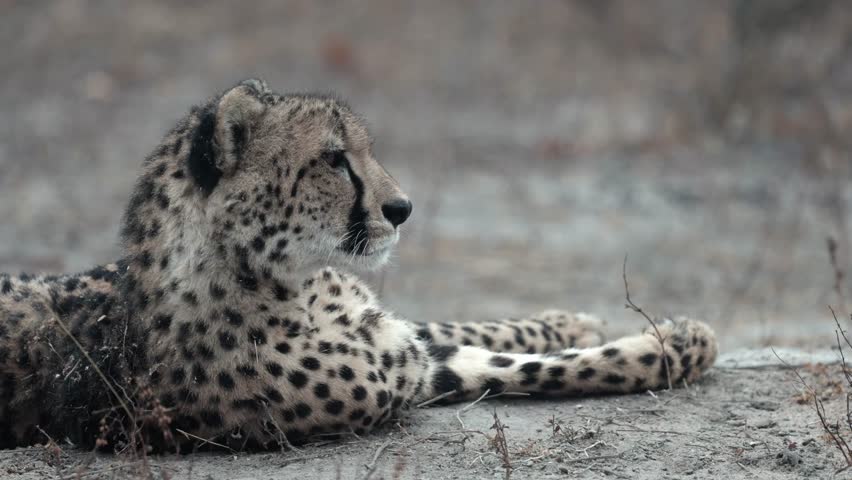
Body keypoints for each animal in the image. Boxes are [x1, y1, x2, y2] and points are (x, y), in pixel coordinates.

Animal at [0, 79, 718, 450]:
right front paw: (677, 343)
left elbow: (476, 329)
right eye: (333, 160)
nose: (402, 208)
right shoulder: (403, 376)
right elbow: (534, 369)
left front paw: (571, 321)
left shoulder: (395, 336)